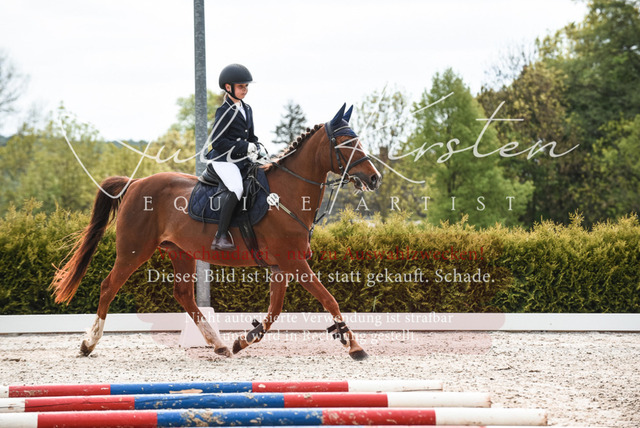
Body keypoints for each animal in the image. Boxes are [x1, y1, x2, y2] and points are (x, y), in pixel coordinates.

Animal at [50, 104, 381, 360]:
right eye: (345, 143)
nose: (374, 179)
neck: (287, 193)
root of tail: (135, 184)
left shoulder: (281, 266)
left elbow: (275, 311)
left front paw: (242, 340)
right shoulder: (294, 262)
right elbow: (329, 299)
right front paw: (355, 347)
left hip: (180, 252)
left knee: (183, 294)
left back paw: (218, 343)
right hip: (134, 250)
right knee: (108, 286)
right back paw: (88, 343)